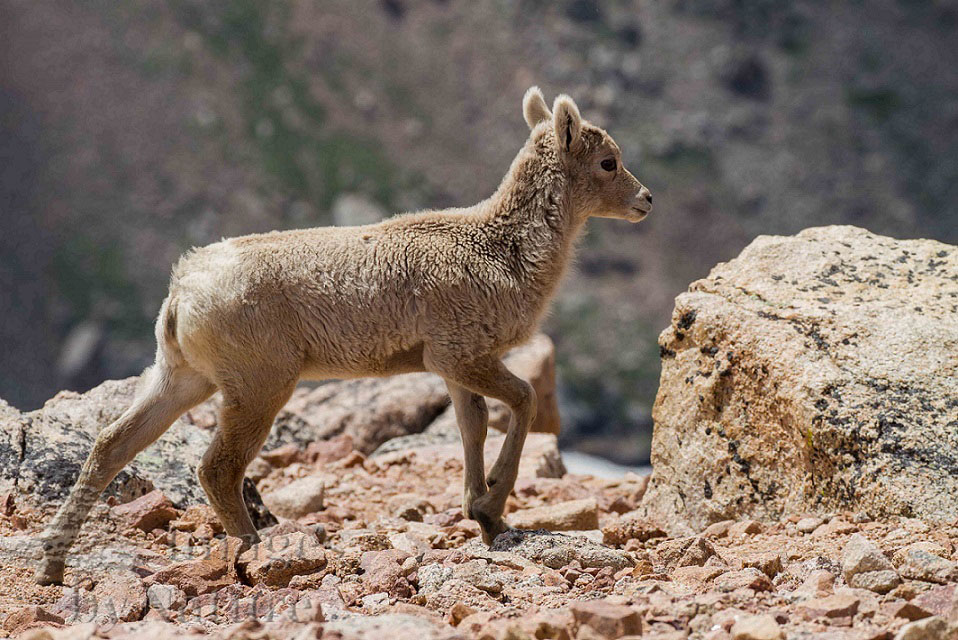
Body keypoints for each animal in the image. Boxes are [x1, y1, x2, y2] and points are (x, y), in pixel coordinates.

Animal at [35, 86, 652, 584]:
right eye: (607, 161)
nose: (646, 200)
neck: (502, 250)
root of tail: (181, 293)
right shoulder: (462, 354)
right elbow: (521, 401)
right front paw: (492, 502)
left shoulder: (452, 367)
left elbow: (471, 428)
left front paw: (487, 516)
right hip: (258, 385)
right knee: (217, 467)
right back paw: (253, 552)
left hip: (181, 378)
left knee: (112, 443)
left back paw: (52, 565)